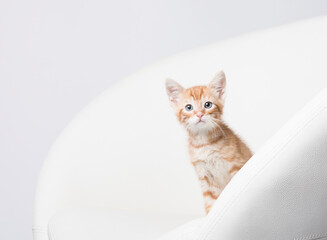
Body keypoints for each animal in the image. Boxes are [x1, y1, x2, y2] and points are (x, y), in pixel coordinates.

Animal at [167, 71, 254, 214]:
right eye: (188, 107)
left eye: (208, 105)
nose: (199, 114)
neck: (204, 144)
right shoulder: (204, 177)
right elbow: (210, 201)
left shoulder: (236, 165)